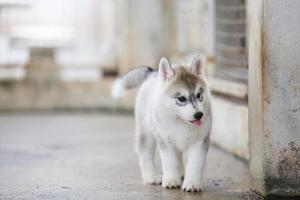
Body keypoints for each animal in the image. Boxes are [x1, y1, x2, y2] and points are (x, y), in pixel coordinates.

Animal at [111, 55, 212, 192]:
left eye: (199, 95)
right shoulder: (166, 142)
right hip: (147, 132)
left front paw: (192, 184)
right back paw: (151, 178)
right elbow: (170, 163)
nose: (199, 115)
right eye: (181, 99)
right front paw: (171, 180)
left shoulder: (200, 142)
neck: (180, 121)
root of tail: (153, 74)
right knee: (145, 153)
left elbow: (195, 164)